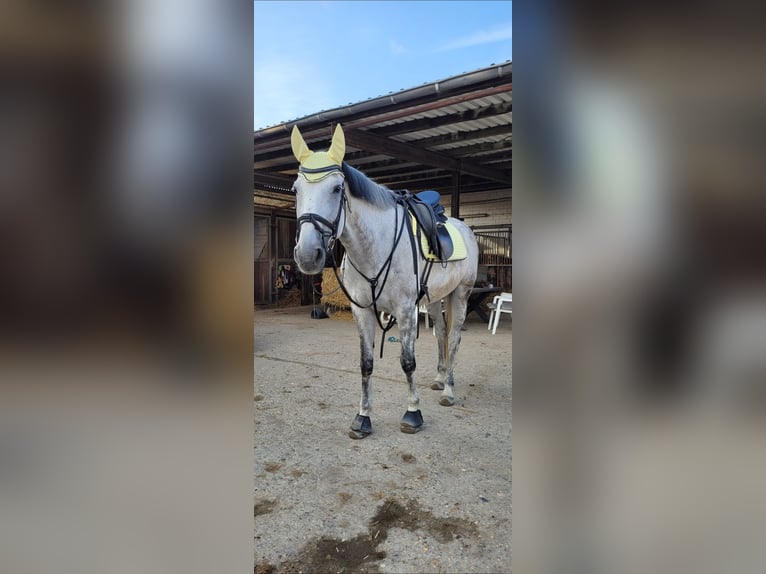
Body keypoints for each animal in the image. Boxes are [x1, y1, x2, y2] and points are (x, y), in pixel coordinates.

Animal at [290, 124, 478, 439]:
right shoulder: (363, 310)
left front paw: (413, 413)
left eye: (337, 188)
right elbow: (366, 364)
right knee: (441, 333)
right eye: (295, 189)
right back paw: (440, 379)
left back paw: (448, 391)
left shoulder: (406, 311)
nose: (307, 255)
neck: (375, 246)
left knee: (453, 338)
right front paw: (363, 417)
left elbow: (407, 362)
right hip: (437, 298)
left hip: (461, 294)